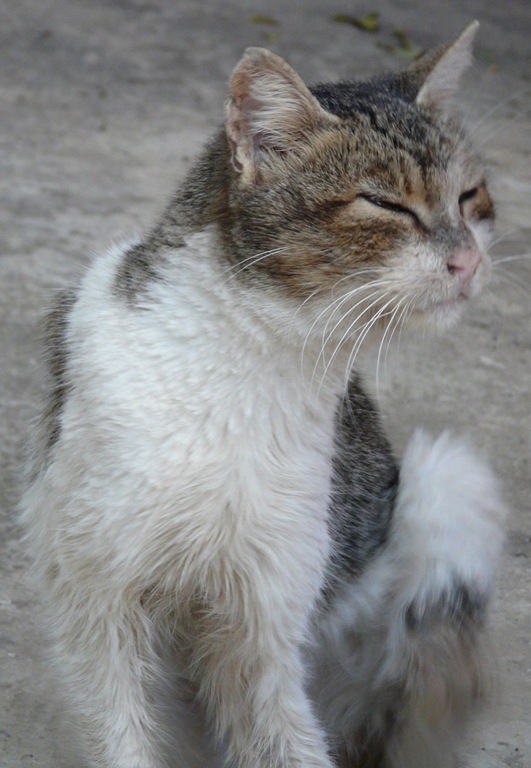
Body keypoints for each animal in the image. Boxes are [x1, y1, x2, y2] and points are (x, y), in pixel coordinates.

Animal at [21, 21, 507, 768]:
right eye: (385, 203)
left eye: (468, 196)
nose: (469, 260)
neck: (246, 364)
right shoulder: (97, 606)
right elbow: (120, 735)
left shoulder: (262, 622)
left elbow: (284, 740)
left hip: (447, 475)